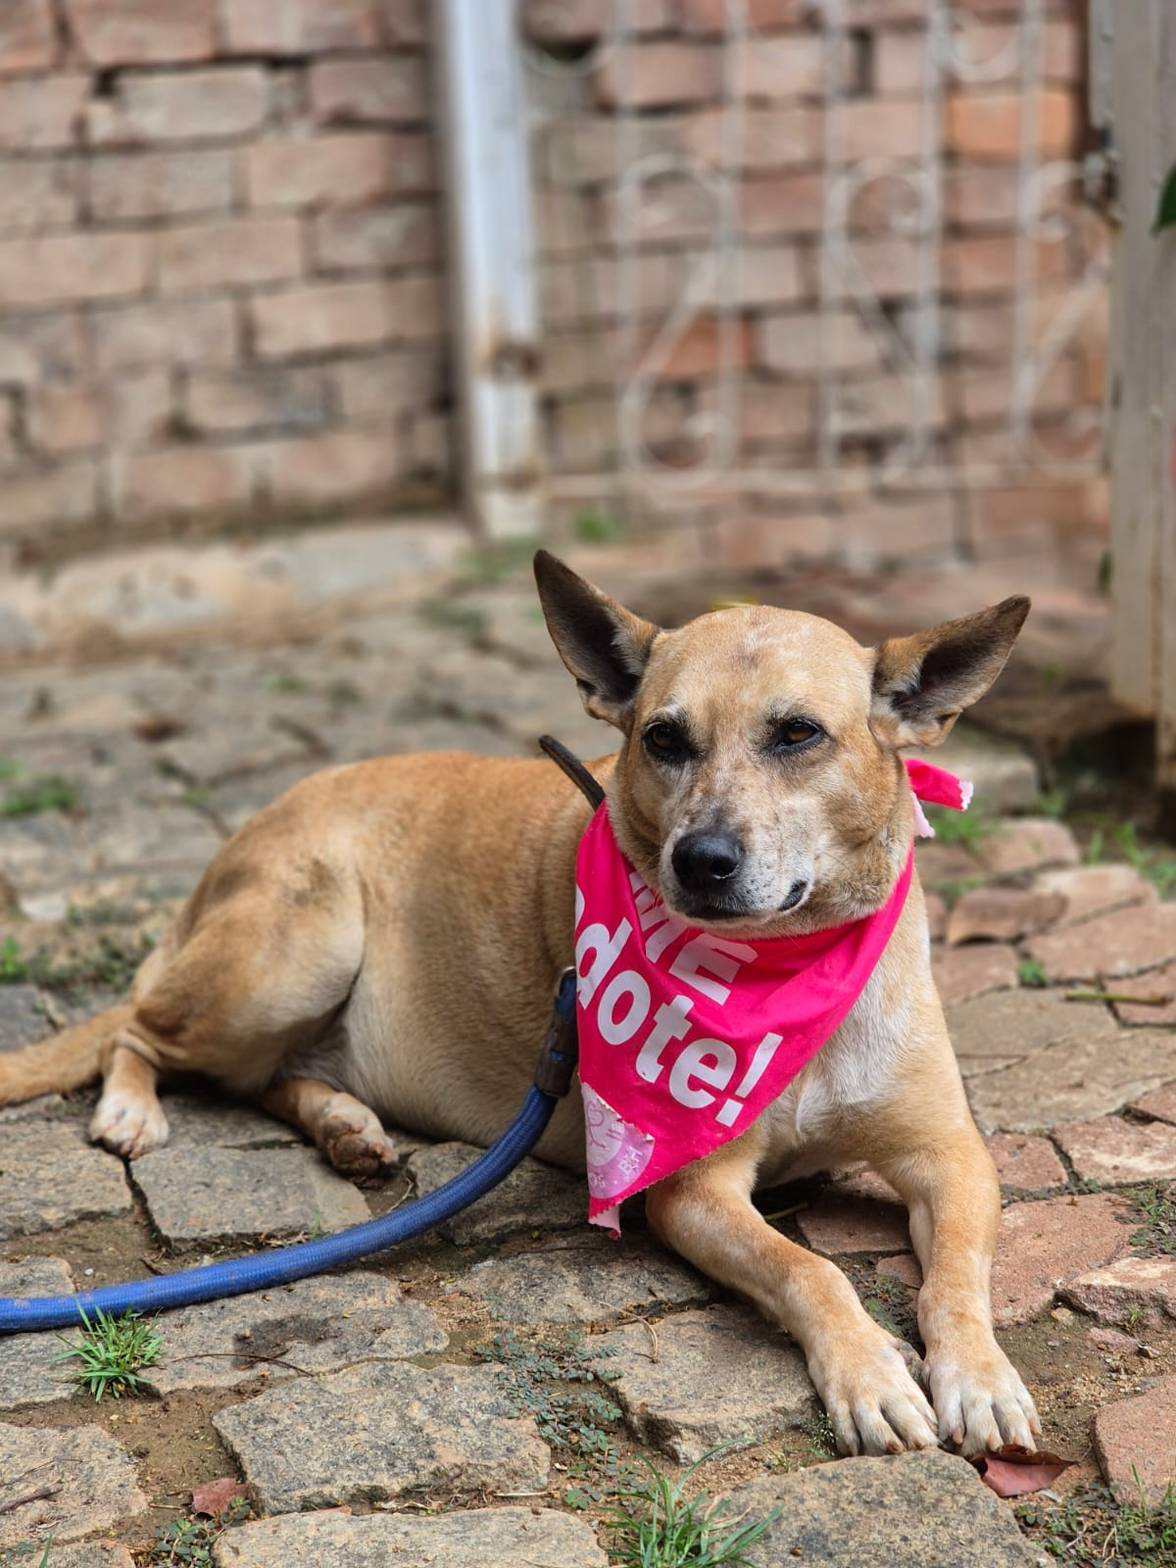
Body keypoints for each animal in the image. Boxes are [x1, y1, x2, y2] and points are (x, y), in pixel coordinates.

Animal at [0, 550, 1039, 1459]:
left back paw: (344, 1125)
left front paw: (979, 1376)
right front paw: (870, 1375)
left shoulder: (950, 1156)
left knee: (260, 1077)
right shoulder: (693, 1192)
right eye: (664, 739)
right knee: (141, 1029)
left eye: (798, 735)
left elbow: (956, 1279)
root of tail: (242, 839)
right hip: (298, 950)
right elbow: (809, 1269)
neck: (783, 966)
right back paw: (133, 1109)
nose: (700, 862)